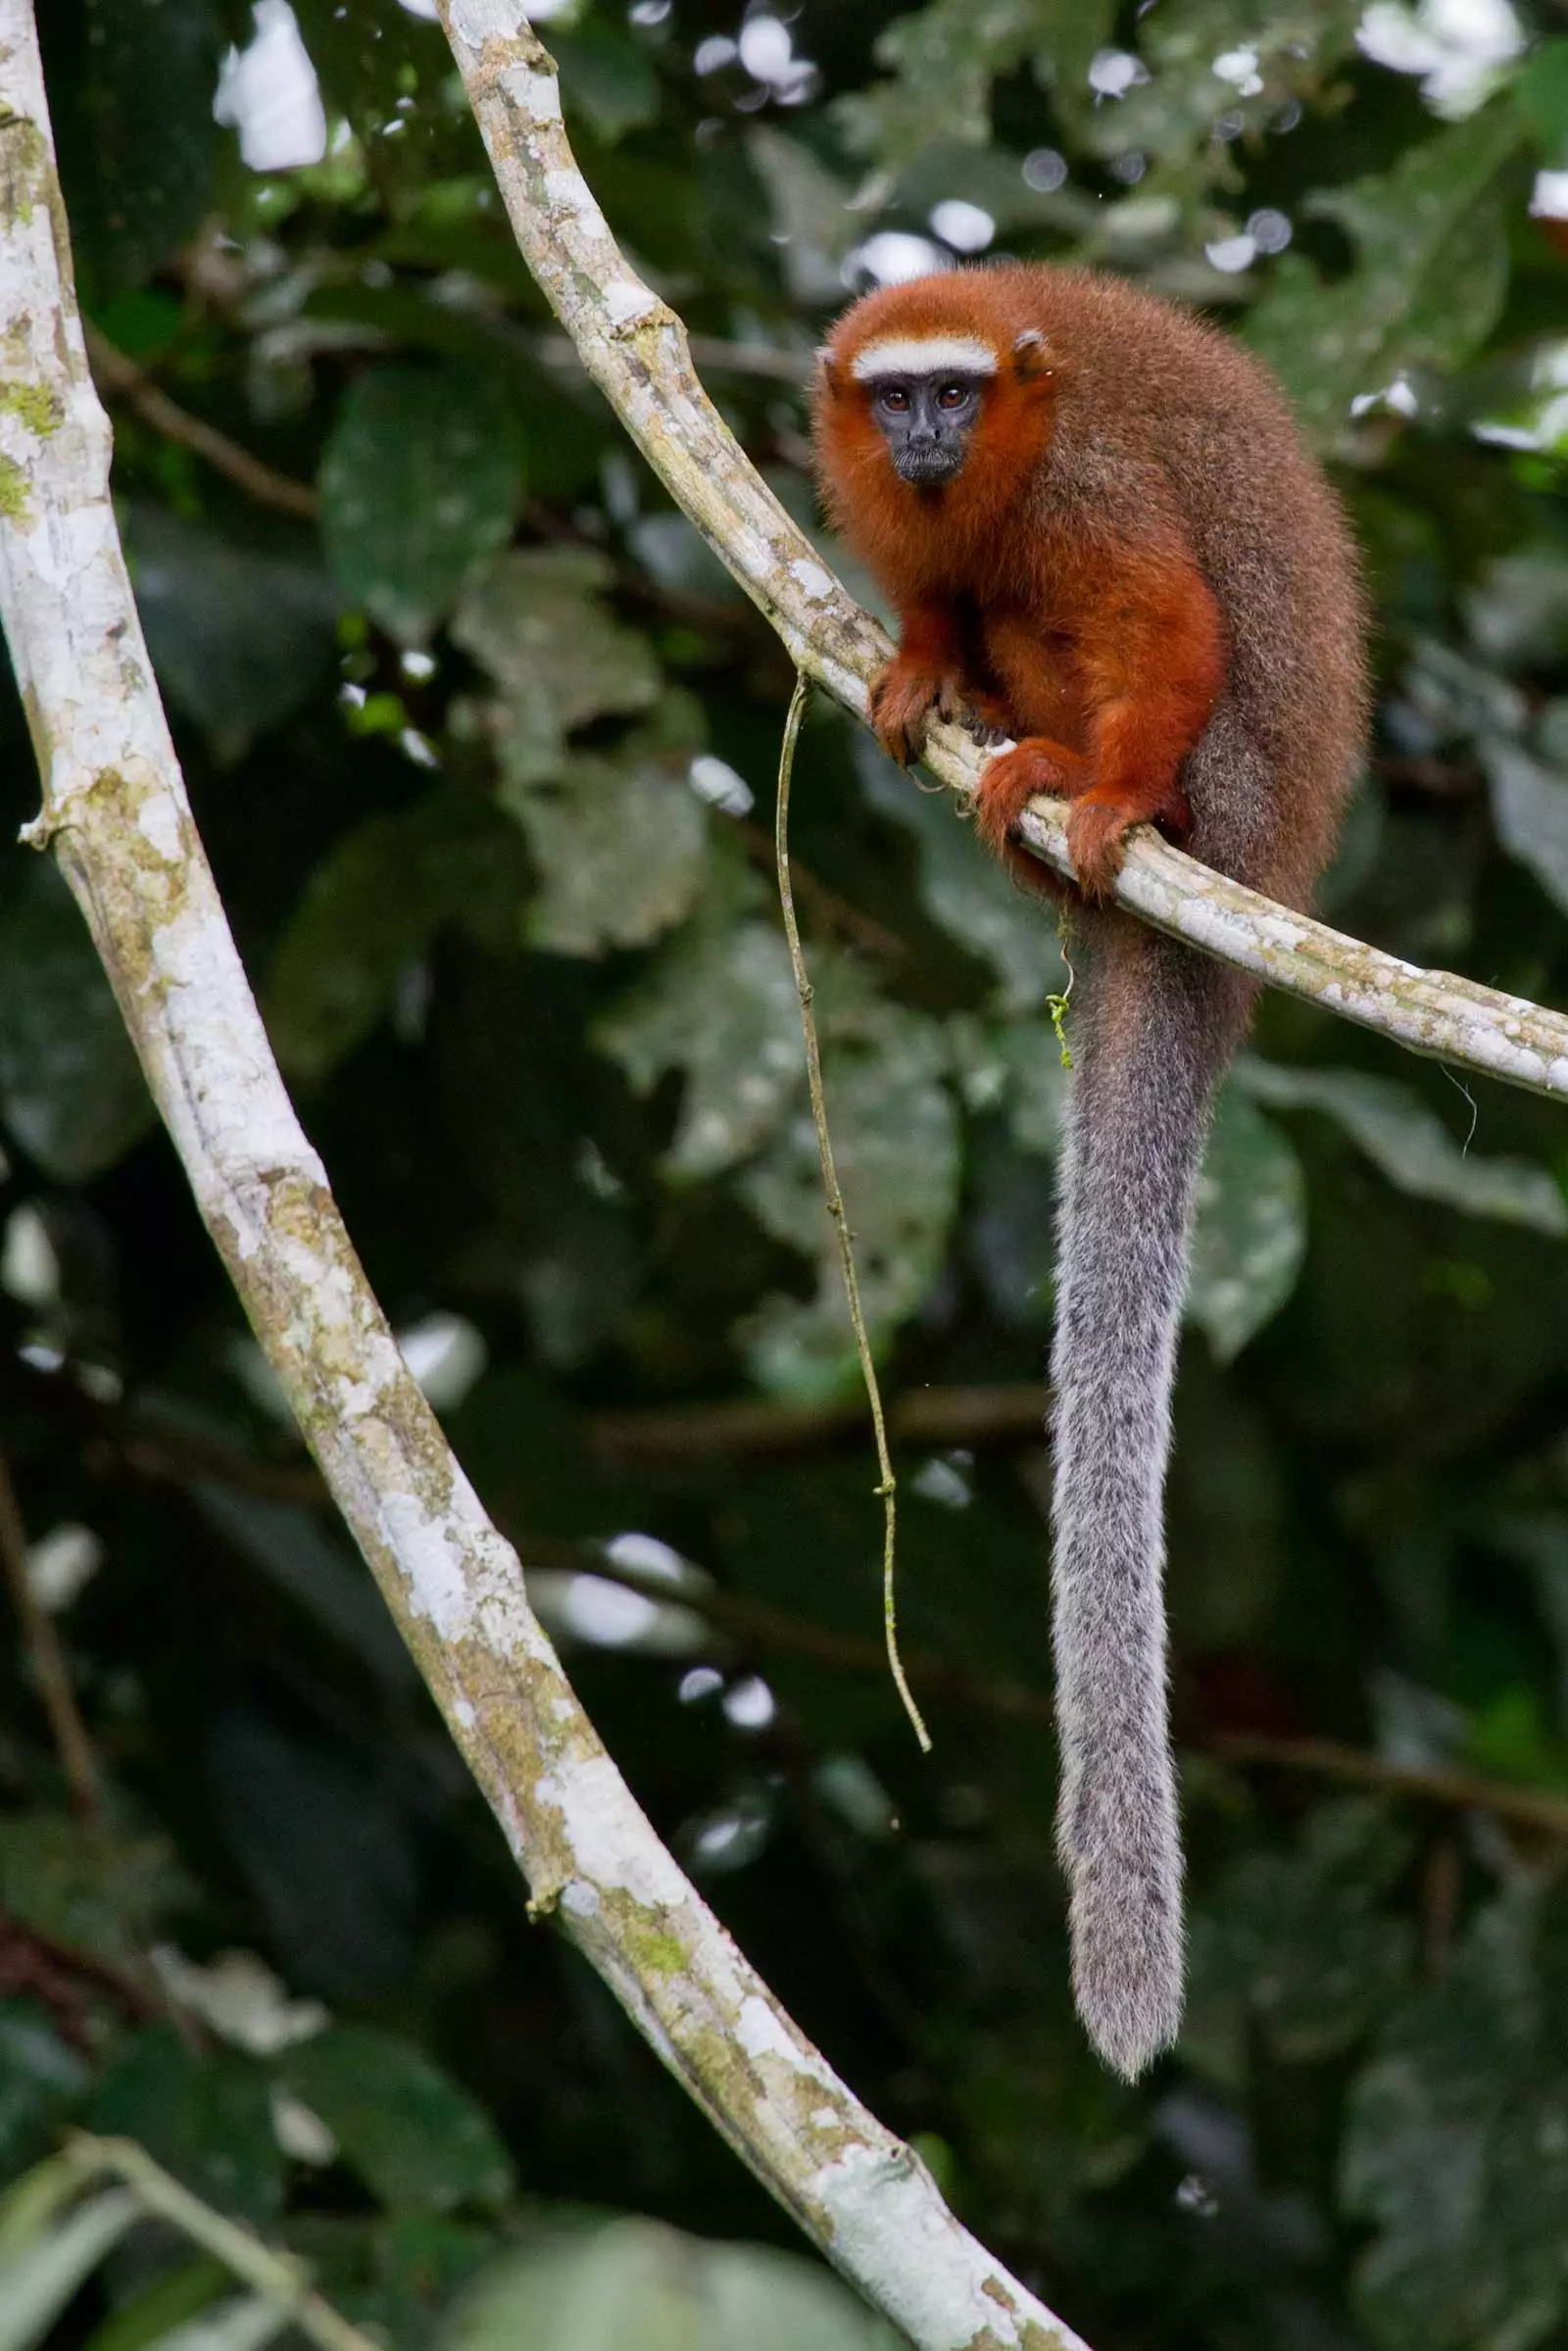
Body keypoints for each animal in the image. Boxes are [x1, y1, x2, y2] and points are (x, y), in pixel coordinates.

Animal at [817, 262, 1363, 2078]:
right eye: (896, 398)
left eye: (958, 397)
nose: (923, 438)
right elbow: (936, 592)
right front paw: (923, 659)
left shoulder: (1084, 489)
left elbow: (1168, 622)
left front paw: (1114, 781)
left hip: (1241, 786)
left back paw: (1096, 788)